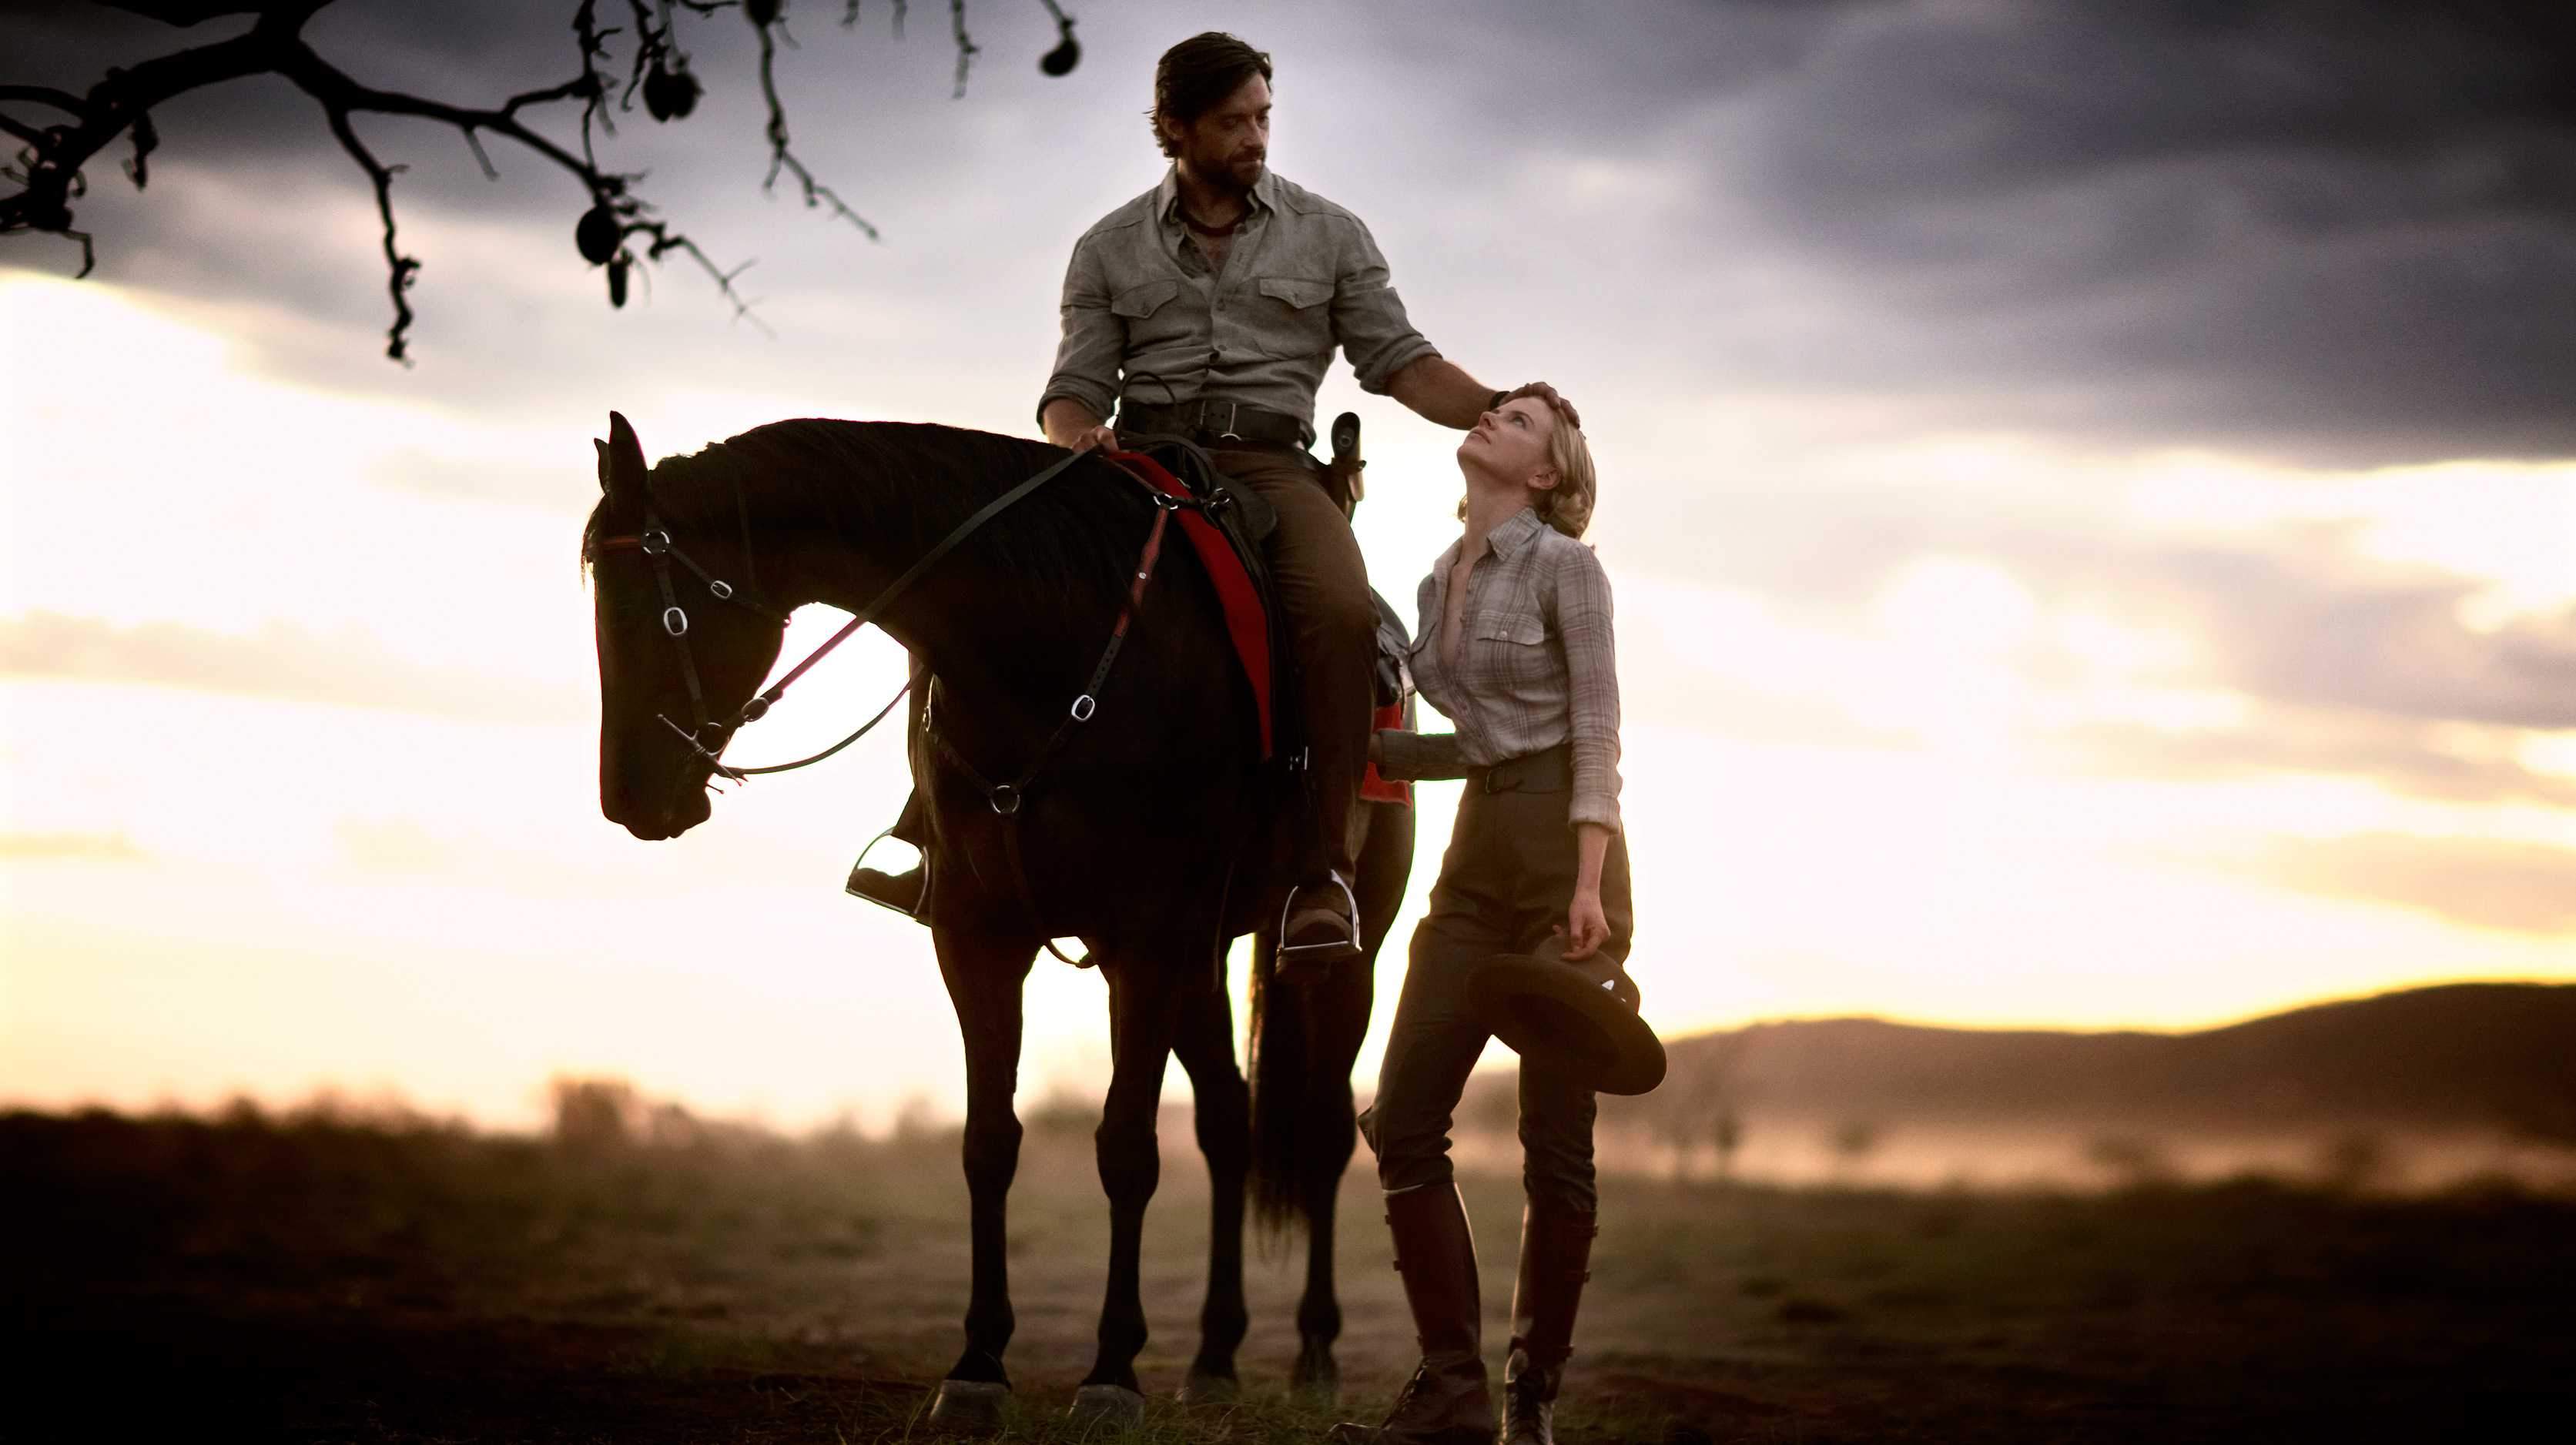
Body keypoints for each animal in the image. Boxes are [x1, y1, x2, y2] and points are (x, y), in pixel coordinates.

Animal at [585, 412, 1412, 1421]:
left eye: (654, 608)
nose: (629, 798)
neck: (1054, 645)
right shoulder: (981, 940)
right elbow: (990, 1143)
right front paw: (978, 1361)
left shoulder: (1144, 942)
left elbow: (1126, 1147)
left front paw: (1110, 1370)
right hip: (1201, 959)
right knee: (1227, 1120)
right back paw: (1215, 1353)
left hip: (1340, 953)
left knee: (1324, 1129)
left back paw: (1316, 1350)